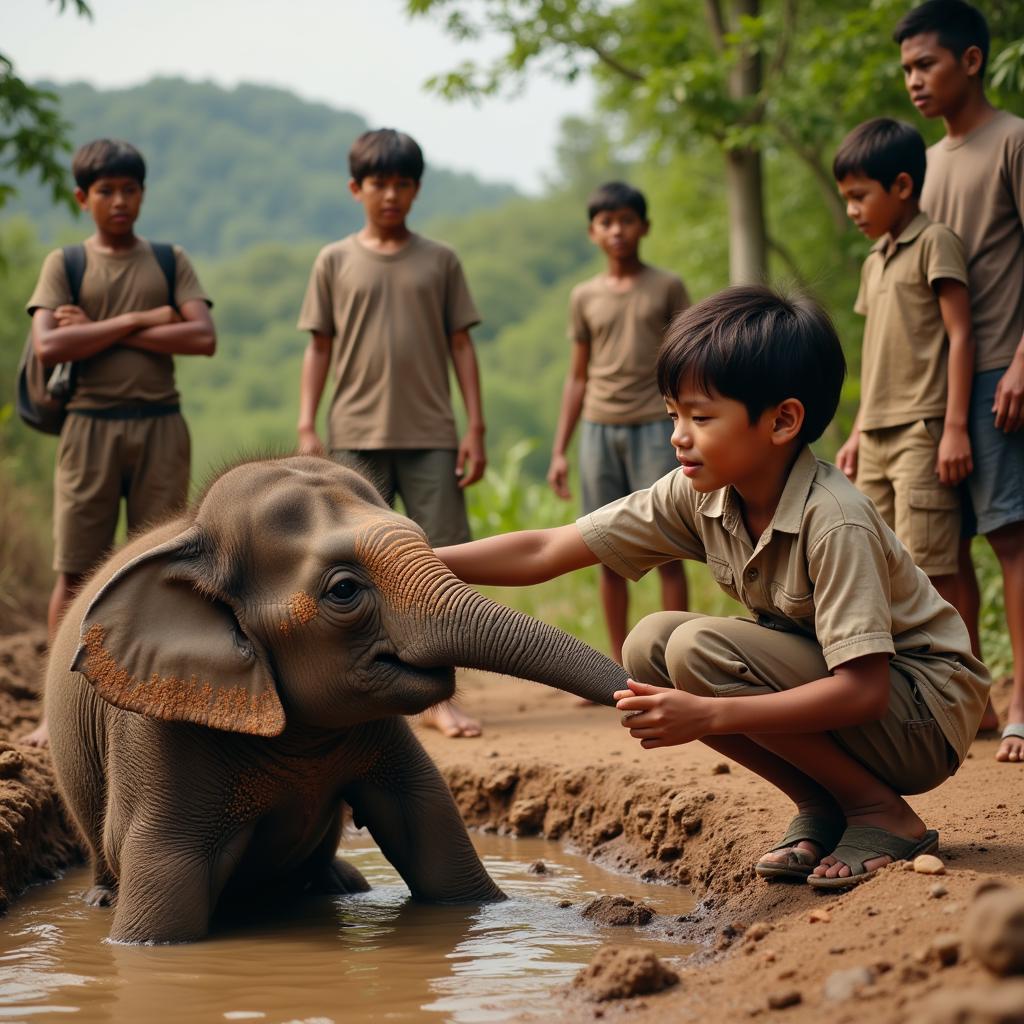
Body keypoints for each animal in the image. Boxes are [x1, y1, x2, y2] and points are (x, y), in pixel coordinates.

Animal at [46, 456, 630, 942]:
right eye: (344, 591)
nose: (636, 697)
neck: (197, 538)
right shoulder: (157, 727)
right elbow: (162, 876)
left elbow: (430, 816)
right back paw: (100, 900)